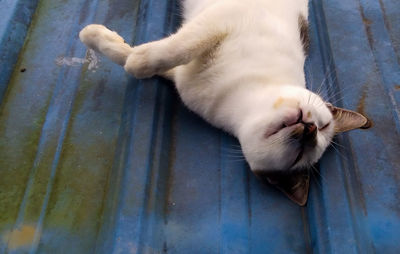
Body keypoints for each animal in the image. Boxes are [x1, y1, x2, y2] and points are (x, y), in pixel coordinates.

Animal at [79, 0, 370, 206]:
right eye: (324, 125)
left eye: (303, 152)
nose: (308, 128)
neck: (240, 95)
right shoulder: (224, 19)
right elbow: (171, 50)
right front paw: (94, 35)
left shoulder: (183, 73)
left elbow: (149, 58)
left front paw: (125, 55)